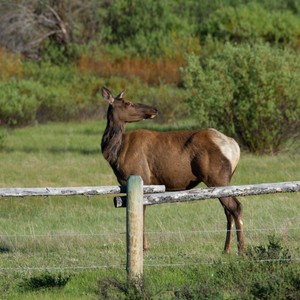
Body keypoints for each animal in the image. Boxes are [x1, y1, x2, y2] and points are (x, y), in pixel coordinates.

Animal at [101, 87, 246, 255]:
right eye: (128, 102)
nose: (154, 109)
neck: (115, 153)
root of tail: (234, 146)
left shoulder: (140, 177)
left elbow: (141, 212)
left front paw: (144, 247)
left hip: (217, 177)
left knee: (235, 207)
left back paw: (241, 249)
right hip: (224, 181)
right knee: (228, 211)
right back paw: (226, 249)